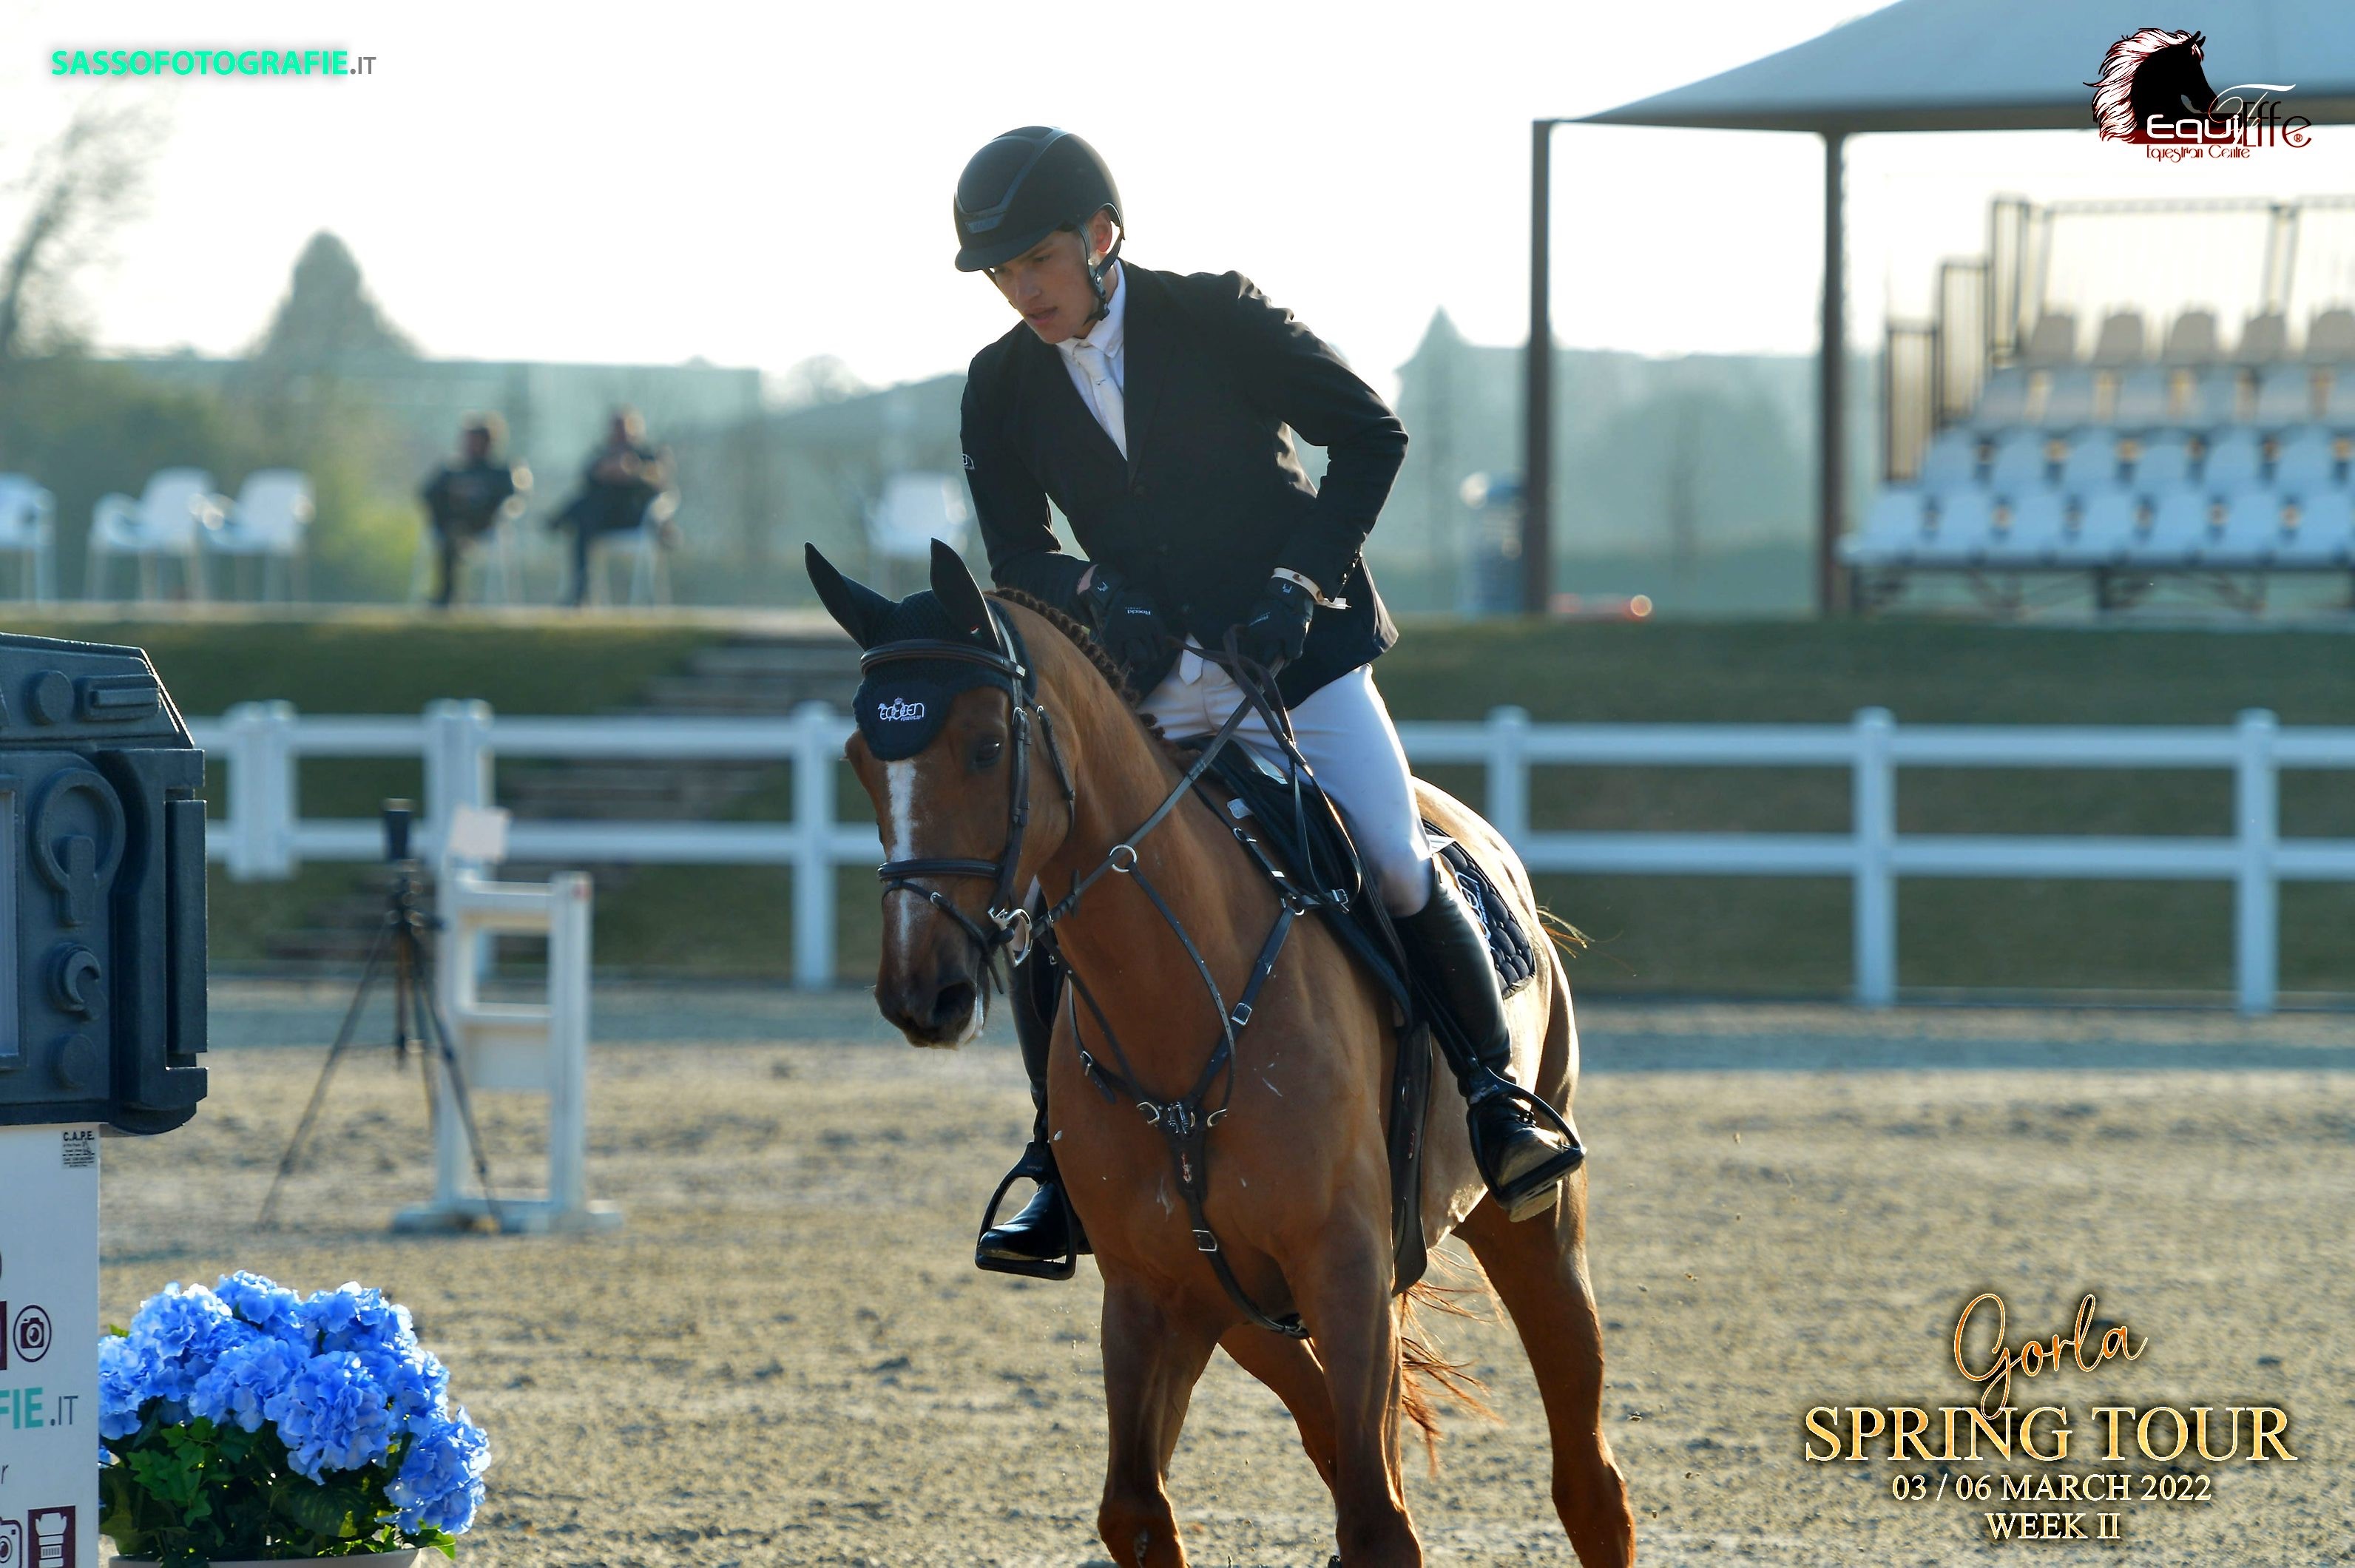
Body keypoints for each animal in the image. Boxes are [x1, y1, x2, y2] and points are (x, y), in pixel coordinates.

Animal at [808, 541, 1635, 1568]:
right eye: (860, 758)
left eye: (986, 746)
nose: (923, 992)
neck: (1186, 1017)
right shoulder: (1155, 1292)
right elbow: (1137, 1508)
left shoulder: (1344, 1268)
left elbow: (1376, 1521)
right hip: (1244, 1304)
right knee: (1335, 1433)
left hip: (1531, 1227)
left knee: (1586, 1481)